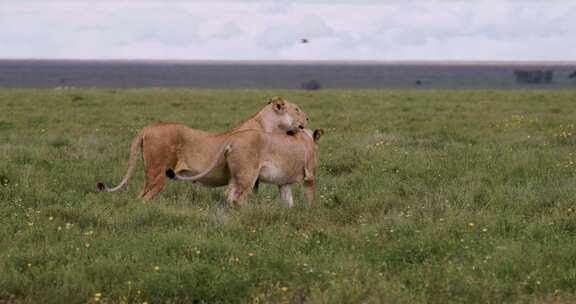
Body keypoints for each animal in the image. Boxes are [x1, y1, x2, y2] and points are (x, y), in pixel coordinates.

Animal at [98, 97, 310, 200]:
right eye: (297, 109)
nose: (308, 118)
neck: (271, 126)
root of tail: (147, 128)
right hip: (158, 173)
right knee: (142, 198)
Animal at [166, 127, 324, 208]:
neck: (306, 137)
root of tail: (232, 138)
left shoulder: (284, 183)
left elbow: (288, 201)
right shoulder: (310, 175)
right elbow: (311, 197)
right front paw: (312, 211)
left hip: (236, 175)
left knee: (229, 193)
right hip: (248, 176)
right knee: (237, 196)